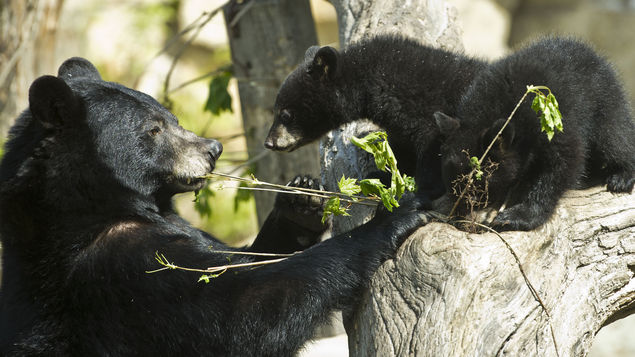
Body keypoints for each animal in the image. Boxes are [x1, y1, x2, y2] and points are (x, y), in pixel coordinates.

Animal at [1, 57, 428, 354]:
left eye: (171, 116)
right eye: (153, 129)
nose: (212, 149)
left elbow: (241, 257)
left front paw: (301, 199)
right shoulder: (115, 269)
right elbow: (243, 308)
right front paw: (397, 215)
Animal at [264, 35, 486, 203]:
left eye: (285, 114)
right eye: (274, 110)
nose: (269, 142)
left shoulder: (421, 107)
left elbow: (431, 146)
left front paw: (421, 190)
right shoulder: (398, 125)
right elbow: (400, 151)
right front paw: (381, 177)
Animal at [438, 36, 635, 231]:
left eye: (477, 187)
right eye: (451, 184)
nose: (459, 215)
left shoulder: (548, 121)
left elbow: (564, 160)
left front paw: (516, 216)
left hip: (602, 98)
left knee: (614, 136)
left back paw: (622, 176)